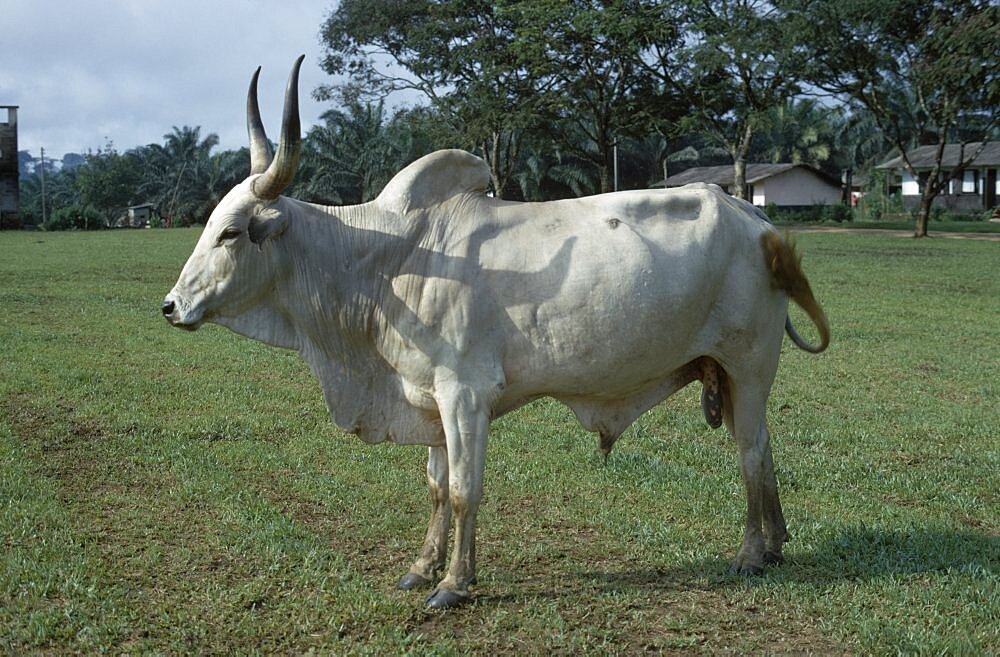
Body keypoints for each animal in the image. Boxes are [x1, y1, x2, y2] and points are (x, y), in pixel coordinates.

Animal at [164, 57, 832, 608]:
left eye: (231, 232)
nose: (172, 306)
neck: (381, 260)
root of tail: (756, 220)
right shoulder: (429, 398)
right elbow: (437, 488)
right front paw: (422, 568)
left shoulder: (465, 394)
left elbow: (464, 491)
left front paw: (455, 584)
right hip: (735, 374)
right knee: (762, 448)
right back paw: (775, 544)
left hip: (748, 365)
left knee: (750, 451)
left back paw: (751, 554)